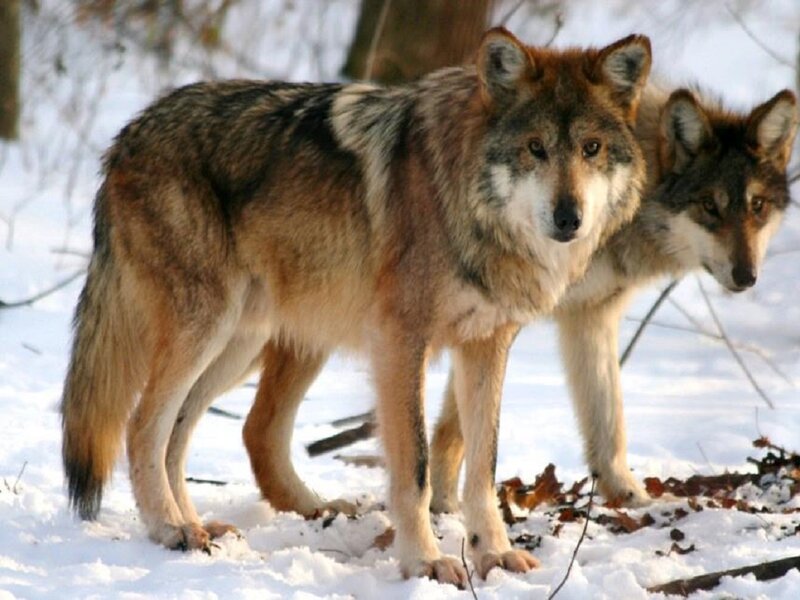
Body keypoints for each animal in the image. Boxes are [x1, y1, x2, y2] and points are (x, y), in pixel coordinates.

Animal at [61, 27, 651, 585]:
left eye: (591, 148)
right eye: (535, 148)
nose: (569, 217)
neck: (465, 202)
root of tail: (127, 135)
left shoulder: (488, 345)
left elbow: (482, 467)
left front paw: (495, 554)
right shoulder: (400, 342)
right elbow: (415, 468)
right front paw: (424, 562)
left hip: (246, 342)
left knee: (190, 434)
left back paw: (203, 524)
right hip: (208, 329)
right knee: (143, 427)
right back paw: (170, 528)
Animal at [428, 85, 798, 514]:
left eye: (757, 206)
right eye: (710, 206)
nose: (746, 276)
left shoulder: (592, 315)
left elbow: (609, 420)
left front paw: (629, 496)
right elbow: (457, 426)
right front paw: (445, 507)